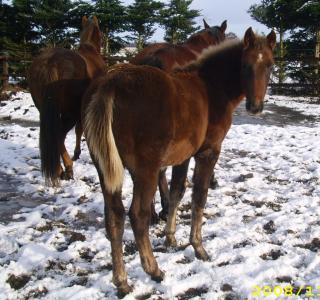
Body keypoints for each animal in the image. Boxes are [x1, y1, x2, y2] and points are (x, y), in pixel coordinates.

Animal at [27, 16, 105, 185]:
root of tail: (50, 62)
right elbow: (80, 130)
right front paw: (77, 153)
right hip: (70, 114)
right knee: (60, 135)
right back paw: (67, 168)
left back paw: (60, 169)